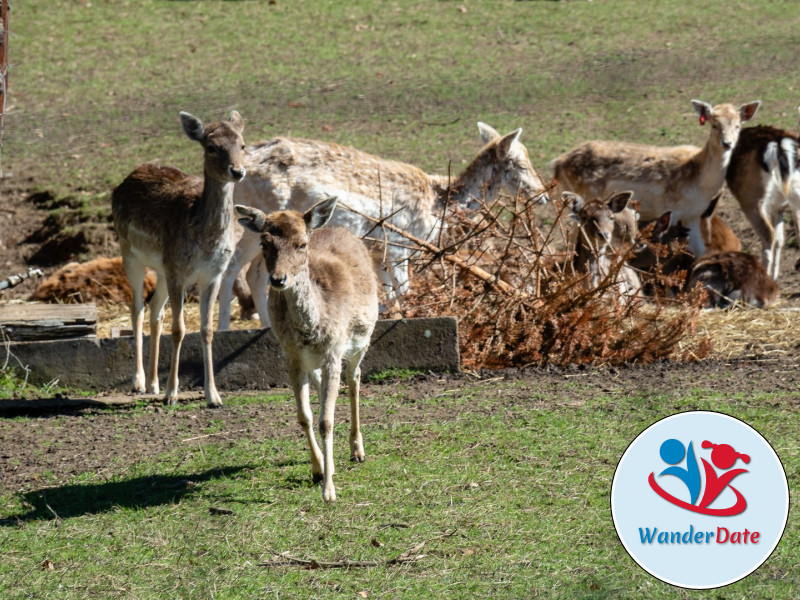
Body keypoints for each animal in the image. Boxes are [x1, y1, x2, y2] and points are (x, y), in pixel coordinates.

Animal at [111, 110, 245, 406]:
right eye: (211, 147)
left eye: (242, 145)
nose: (238, 171)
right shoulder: (178, 271)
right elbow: (179, 329)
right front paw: (172, 393)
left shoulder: (213, 274)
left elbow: (206, 330)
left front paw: (213, 396)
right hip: (130, 253)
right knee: (137, 308)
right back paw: (139, 382)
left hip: (161, 269)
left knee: (155, 311)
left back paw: (153, 384)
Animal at [217, 121, 552, 328]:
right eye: (519, 164)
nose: (544, 195)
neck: (437, 206)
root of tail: (242, 168)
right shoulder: (400, 246)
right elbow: (403, 290)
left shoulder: (380, 251)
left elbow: (386, 292)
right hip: (255, 224)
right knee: (232, 266)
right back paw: (223, 329)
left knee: (256, 273)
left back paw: (266, 325)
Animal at [234, 197, 382, 502]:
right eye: (264, 242)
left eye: (302, 244)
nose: (279, 279)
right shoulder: (292, 358)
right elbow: (305, 416)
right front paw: (318, 470)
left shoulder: (333, 352)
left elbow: (326, 420)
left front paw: (329, 491)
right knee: (326, 384)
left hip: (363, 338)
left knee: (355, 377)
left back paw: (357, 450)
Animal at [552, 99, 764, 258]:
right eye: (714, 124)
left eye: (738, 125)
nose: (727, 143)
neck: (699, 183)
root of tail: (557, 163)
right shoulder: (673, 209)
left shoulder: (694, 214)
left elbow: (700, 251)